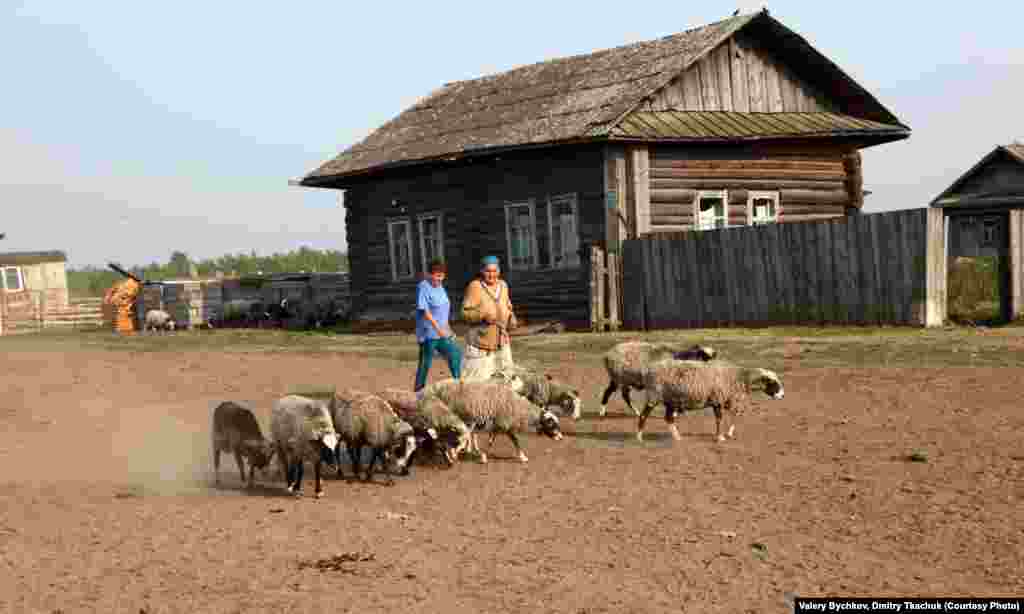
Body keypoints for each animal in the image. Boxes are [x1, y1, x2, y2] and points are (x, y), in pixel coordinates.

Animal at [415, 376, 561, 462]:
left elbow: (491, 440)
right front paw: (523, 457)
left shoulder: (498, 424)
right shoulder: (504, 422)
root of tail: (432, 388)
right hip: (449, 415)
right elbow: (515, 440)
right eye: (551, 424)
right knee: (450, 434)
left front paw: (483, 455)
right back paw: (451, 452)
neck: (519, 408)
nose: (561, 438)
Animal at [638, 358, 782, 444]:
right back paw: (639, 438)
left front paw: (728, 433)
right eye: (773, 383)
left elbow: (734, 416)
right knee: (643, 415)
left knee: (668, 418)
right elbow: (719, 419)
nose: (782, 396)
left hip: (671, 401)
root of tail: (648, 370)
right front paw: (720, 437)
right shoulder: (717, 400)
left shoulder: (725, 400)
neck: (739, 377)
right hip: (654, 396)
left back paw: (678, 437)